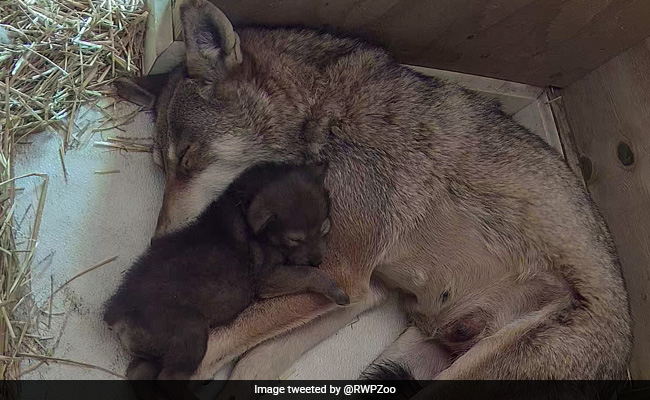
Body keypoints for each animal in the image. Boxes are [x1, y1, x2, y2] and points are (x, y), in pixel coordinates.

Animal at [104, 162, 348, 381]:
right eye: (295, 239)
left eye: (325, 228)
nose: (318, 260)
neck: (243, 203)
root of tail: (115, 314)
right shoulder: (266, 278)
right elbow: (308, 274)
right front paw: (335, 290)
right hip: (190, 332)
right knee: (170, 376)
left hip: (152, 352)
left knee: (139, 372)